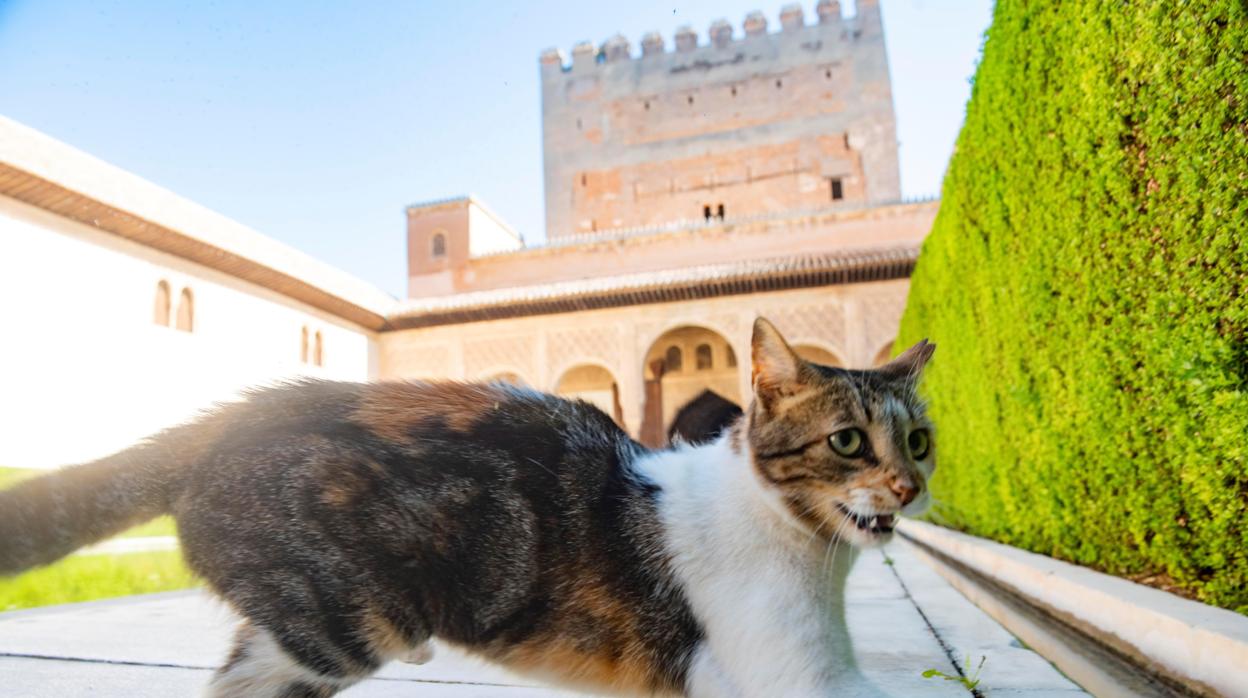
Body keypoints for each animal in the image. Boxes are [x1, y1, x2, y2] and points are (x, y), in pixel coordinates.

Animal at [0, 319, 938, 694]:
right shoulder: (790, 678)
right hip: (347, 626)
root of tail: (244, 408)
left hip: (302, 647)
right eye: (848, 442)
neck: (812, 559)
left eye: (920, 440)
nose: (909, 486)